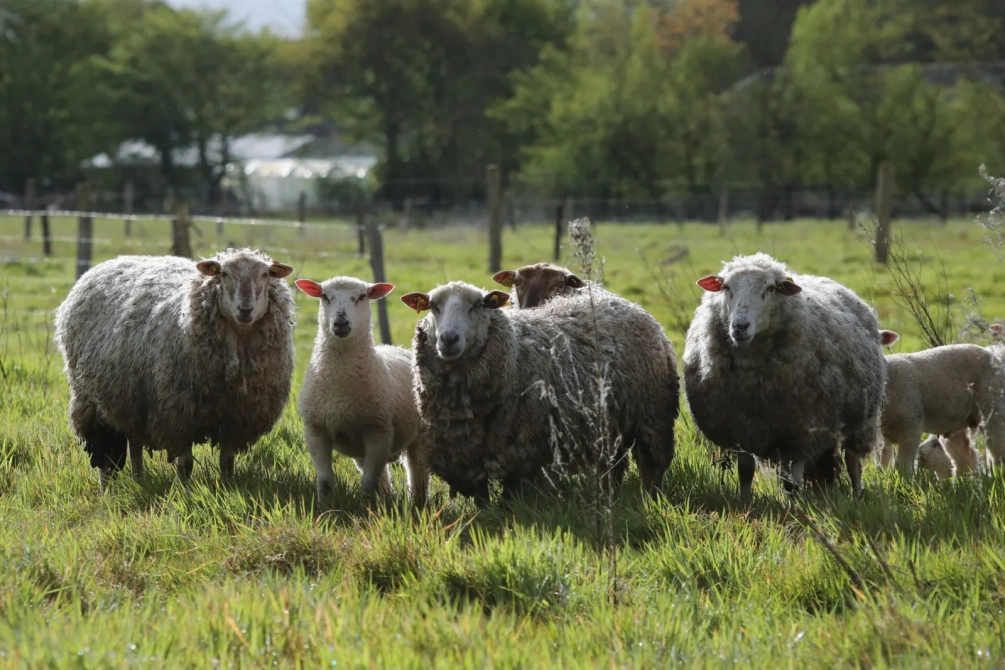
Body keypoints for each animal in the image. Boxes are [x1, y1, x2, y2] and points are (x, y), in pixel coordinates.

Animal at [54, 248, 296, 492]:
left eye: (265, 275)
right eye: (224, 274)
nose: (245, 310)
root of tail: (117, 259)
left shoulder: (236, 419)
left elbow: (227, 463)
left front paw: (227, 488)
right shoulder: (177, 415)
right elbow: (185, 464)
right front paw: (185, 491)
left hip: (131, 399)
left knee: (134, 443)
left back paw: (139, 479)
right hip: (92, 398)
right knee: (104, 452)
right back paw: (107, 491)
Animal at [295, 276, 428, 507]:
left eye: (362, 297)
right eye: (324, 296)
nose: (341, 323)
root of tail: (395, 347)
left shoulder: (378, 430)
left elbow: (367, 483)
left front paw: (366, 509)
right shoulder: (316, 430)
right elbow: (325, 480)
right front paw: (324, 508)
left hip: (418, 435)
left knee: (417, 471)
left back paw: (417, 504)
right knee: (381, 475)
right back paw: (385, 499)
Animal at [400, 281, 678, 504]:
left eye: (478, 305)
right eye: (433, 306)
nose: (448, 339)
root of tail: (624, 302)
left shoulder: (519, 451)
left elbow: (510, 498)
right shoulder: (468, 456)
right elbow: (482, 501)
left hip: (652, 418)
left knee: (652, 467)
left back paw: (651, 499)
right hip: (612, 424)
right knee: (615, 467)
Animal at [682, 252, 887, 498]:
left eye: (770, 289)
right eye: (726, 287)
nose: (740, 326)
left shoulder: (801, 432)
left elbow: (792, 482)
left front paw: (793, 506)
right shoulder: (742, 429)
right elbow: (746, 472)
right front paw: (745, 501)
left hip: (861, 420)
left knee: (853, 462)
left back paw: (856, 496)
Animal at [878, 343, 1005, 476]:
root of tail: (994, 355)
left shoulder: (911, 426)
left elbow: (903, 467)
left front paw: (905, 480)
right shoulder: (882, 438)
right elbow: (882, 466)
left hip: (994, 407)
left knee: (997, 450)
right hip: (957, 421)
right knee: (966, 457)